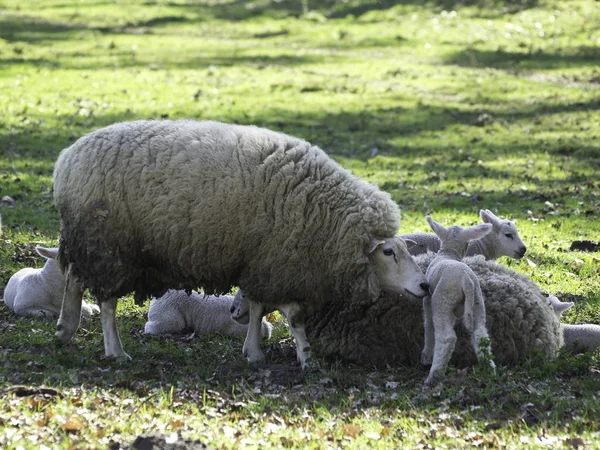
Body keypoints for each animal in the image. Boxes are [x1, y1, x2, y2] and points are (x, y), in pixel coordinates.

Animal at [420, 216, 494, 384]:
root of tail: (466, 280)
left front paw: (426, 357)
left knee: (447, 338)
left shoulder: (427, 300)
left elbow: (428, 325)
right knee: (481, 335)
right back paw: (490, 369)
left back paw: (433, 376)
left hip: (442, 300)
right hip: (477, 303)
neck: (448, 253)